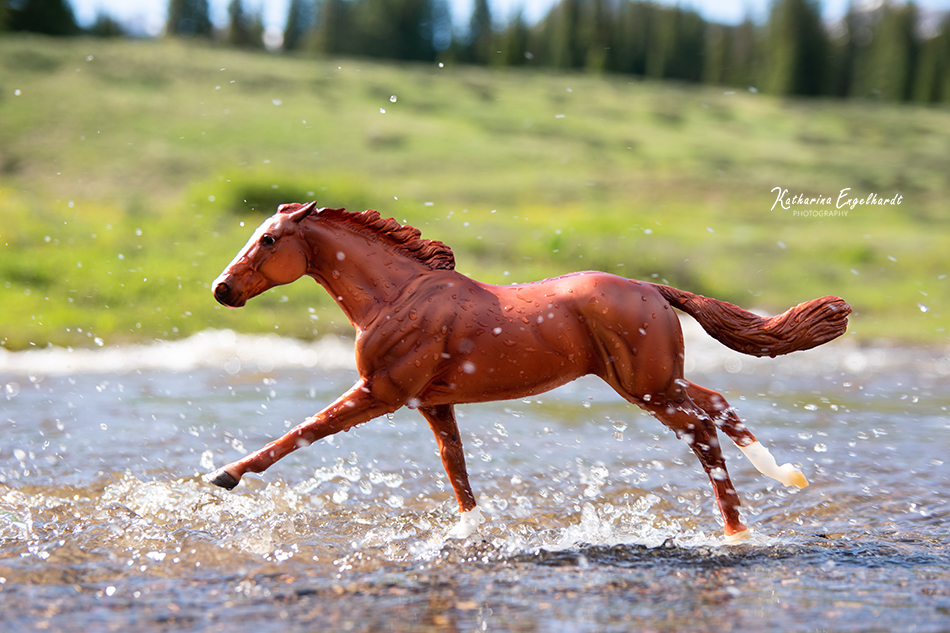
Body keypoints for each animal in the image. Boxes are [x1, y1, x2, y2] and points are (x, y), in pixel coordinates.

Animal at [212, 202, 852, 540]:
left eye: (269, 239)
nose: (222, 289)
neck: (397, 297)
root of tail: (654, 289)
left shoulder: (381, 392)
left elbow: (305, 431)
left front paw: (225, 475)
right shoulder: (433, 402)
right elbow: (456, 470)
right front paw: (469, 532)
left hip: (644, 388)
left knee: (701, 430)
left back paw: (736, 531)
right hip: (653, 380)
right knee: (716, 403)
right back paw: (784, 476)